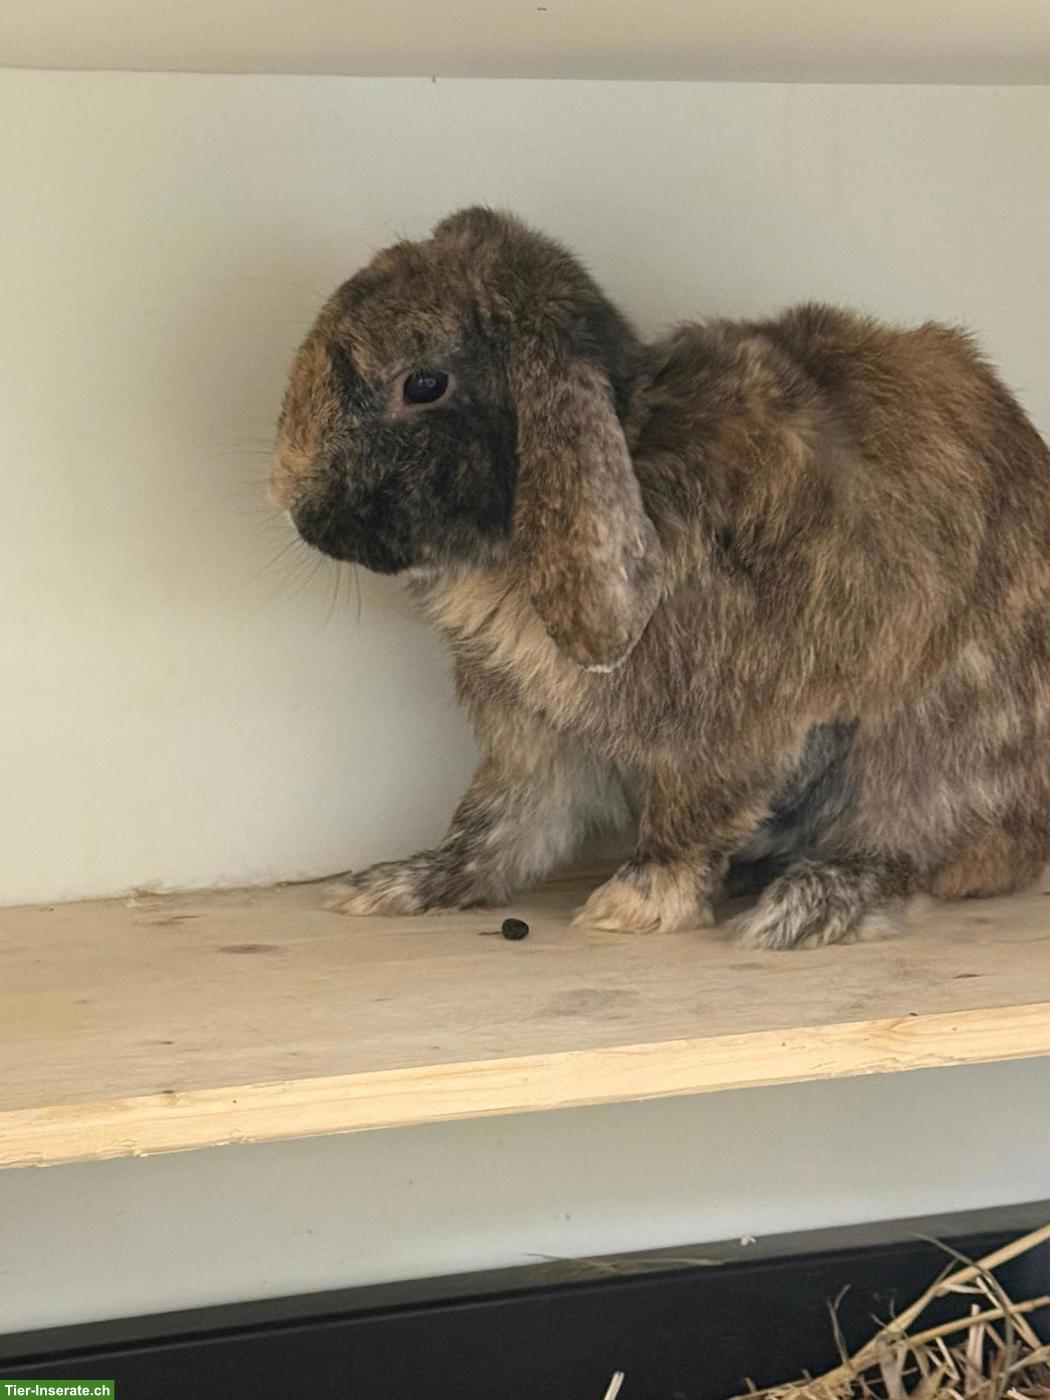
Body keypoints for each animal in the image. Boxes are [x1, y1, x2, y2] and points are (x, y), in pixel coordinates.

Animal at [271, 207, 1050, 947]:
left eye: (423, 384)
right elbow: (503, 826)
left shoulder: (731, 727)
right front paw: (400, 884)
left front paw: (634, 903)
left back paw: (809, 904)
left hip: (922, 756)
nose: (291, 502)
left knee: (915, 854)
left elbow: (688, 815)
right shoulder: (534, 738)